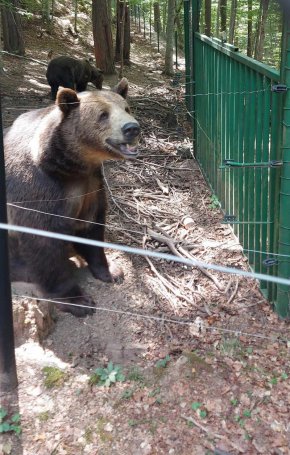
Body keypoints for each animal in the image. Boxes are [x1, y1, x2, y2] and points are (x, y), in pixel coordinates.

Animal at [4, 79, 140, 318]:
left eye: (126, 108)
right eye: (103, 114)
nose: (132, 128)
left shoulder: (91, 186)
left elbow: (91, 226)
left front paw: (110, 271)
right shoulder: (38, 191)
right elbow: (44, 244)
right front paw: (79, 300)